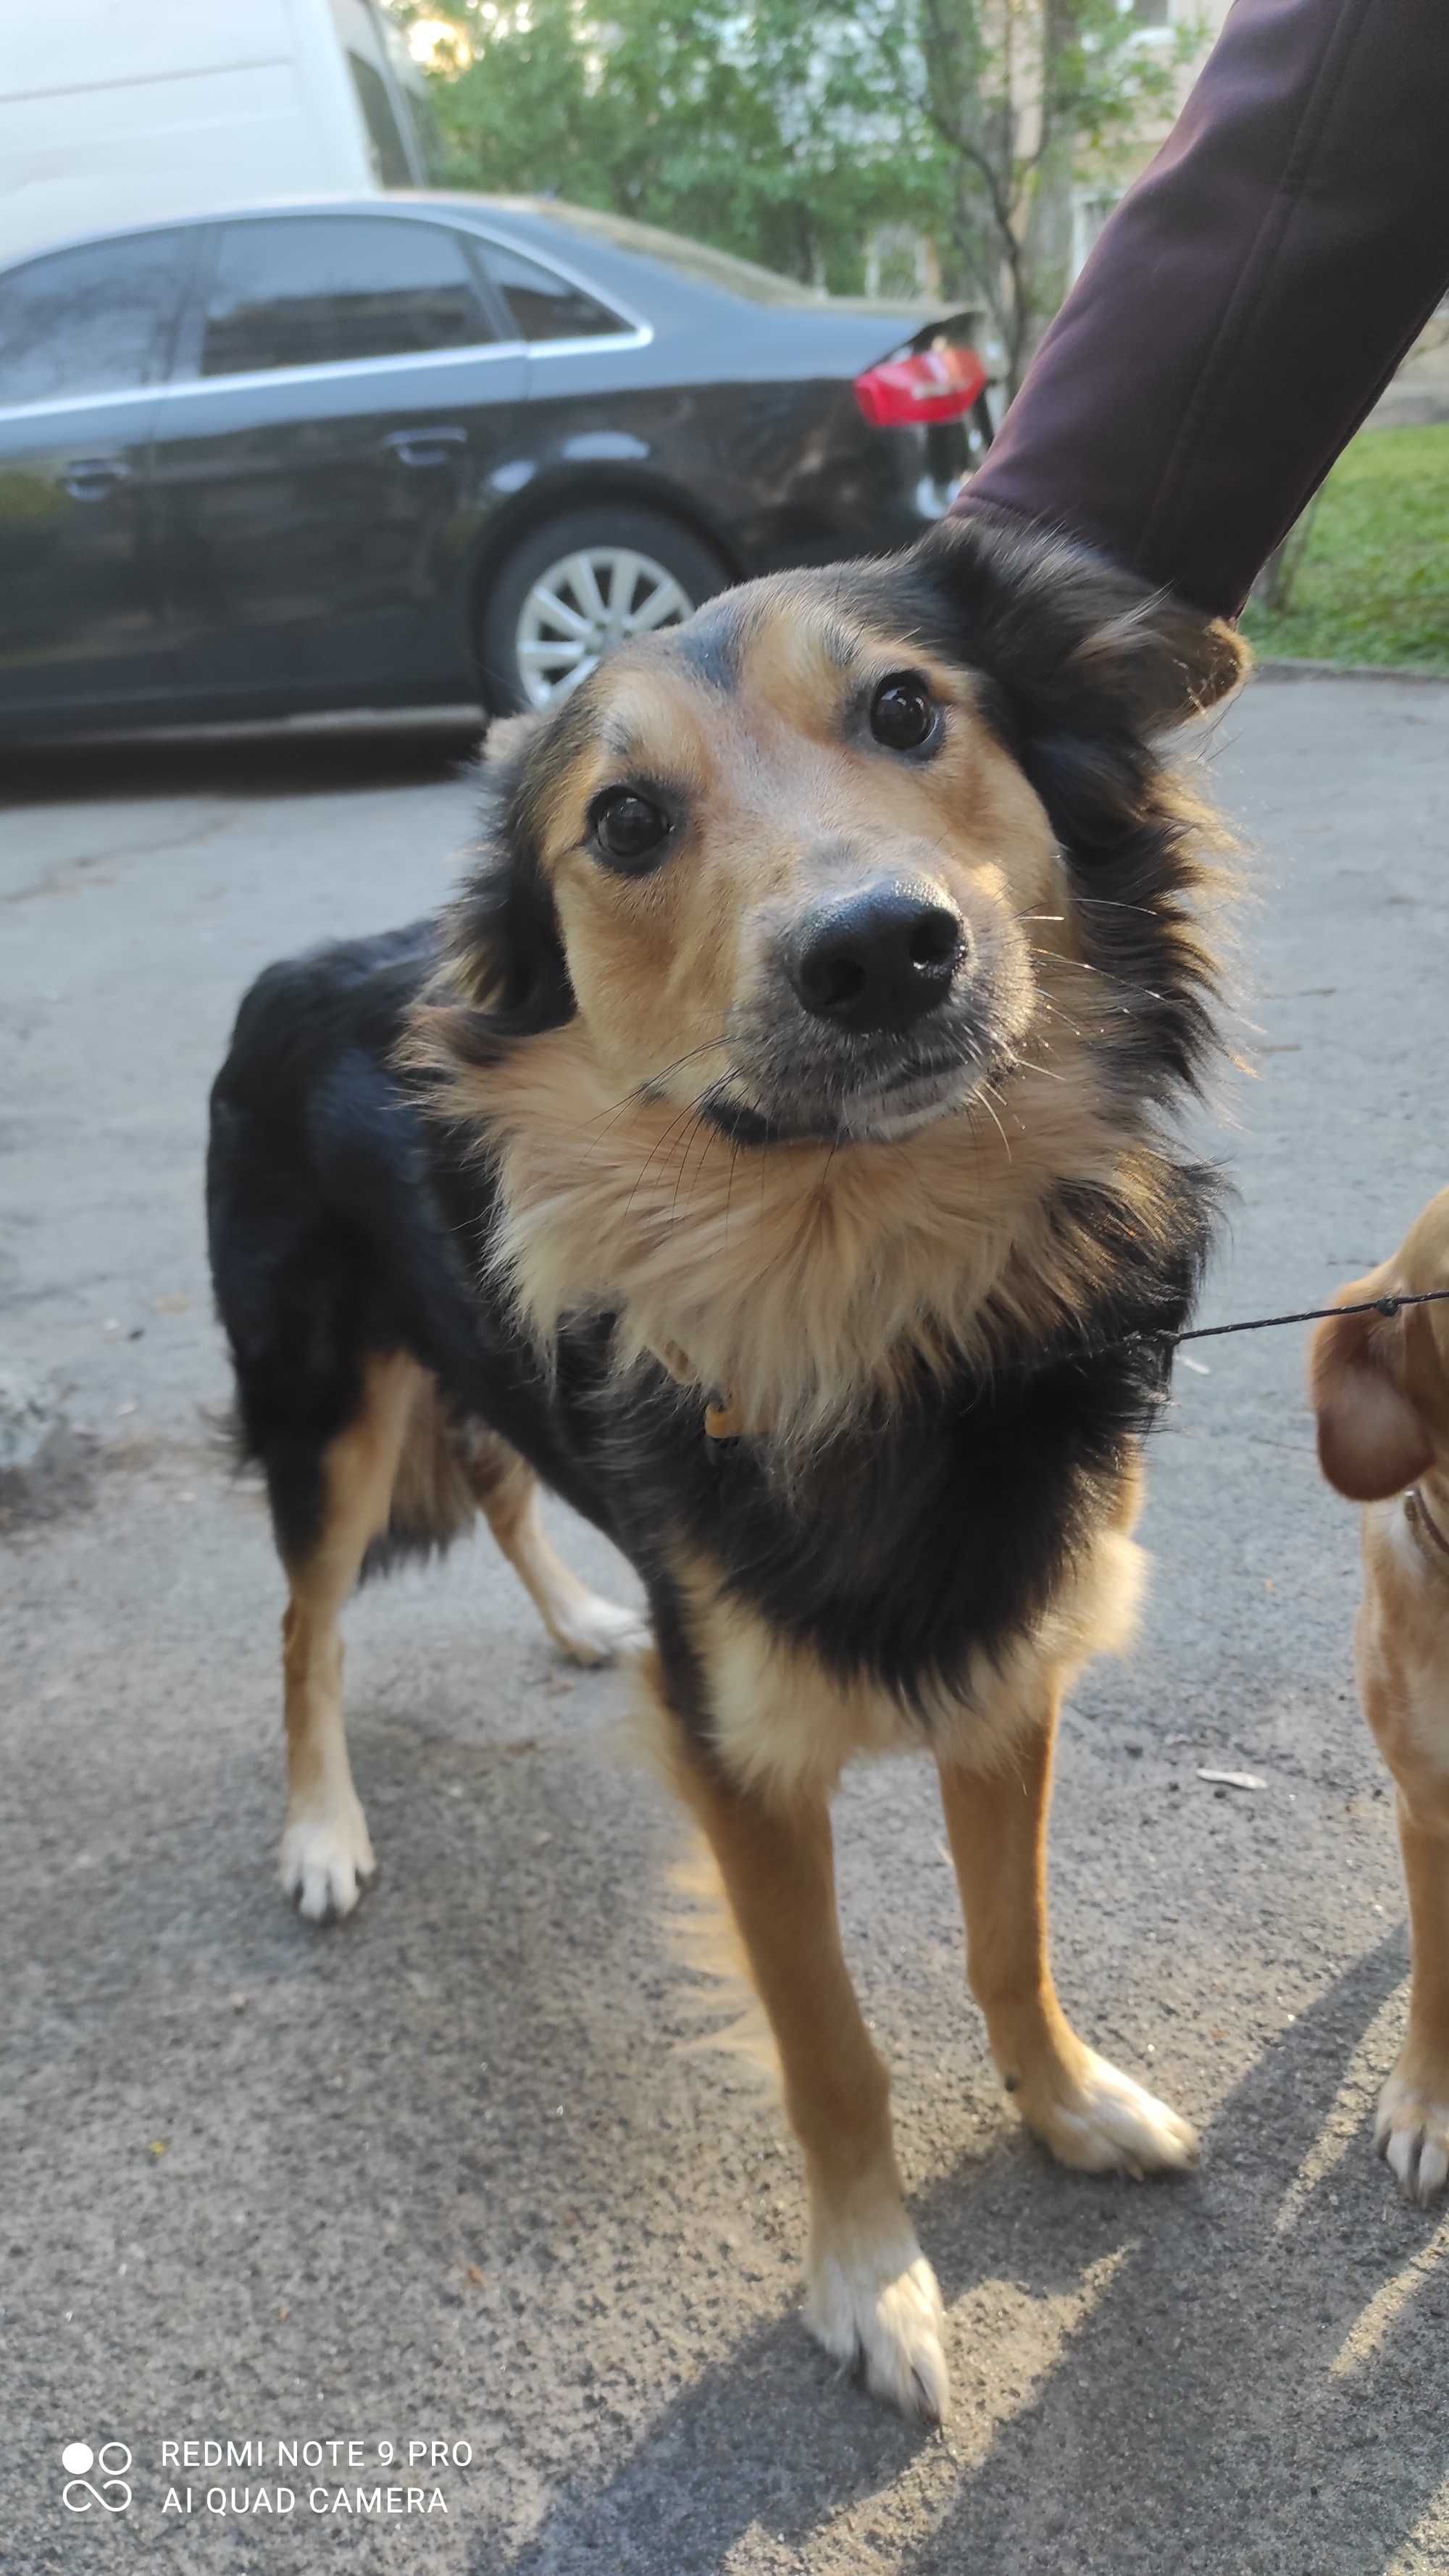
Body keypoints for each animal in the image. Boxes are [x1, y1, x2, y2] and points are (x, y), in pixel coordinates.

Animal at [206, 517, 1243, 2411]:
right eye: (623, 823)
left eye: (905, 709)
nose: (880, 952)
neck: (873, 1294)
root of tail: (290, 966)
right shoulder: (738, 1751)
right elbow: (828, 2044)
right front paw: (869, 2279)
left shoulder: (1010, 1654)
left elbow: (1010, 1938)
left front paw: (1066, 2106)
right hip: (327, 1402)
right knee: (310, 1621)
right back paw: (321, 1826)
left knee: (501, 1481)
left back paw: (576, 1620)